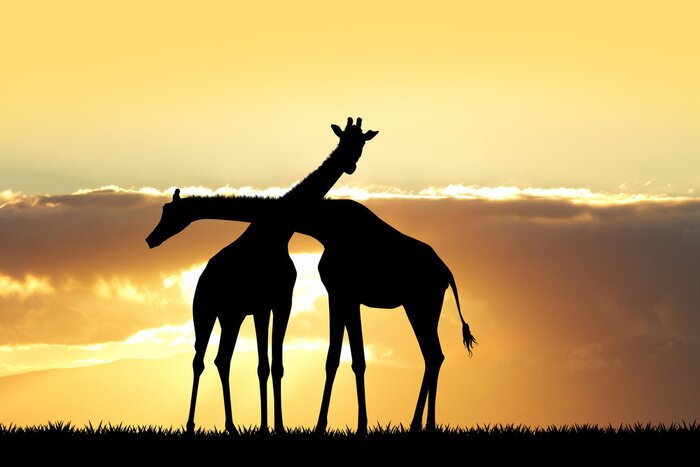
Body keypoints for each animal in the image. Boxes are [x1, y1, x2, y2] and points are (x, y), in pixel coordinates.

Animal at [146, 118, 377, 434]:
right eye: (342, 140)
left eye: (361, 143)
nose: (151, 239)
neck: (277, 232)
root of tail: (202, 278)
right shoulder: (262, 306)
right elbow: (263, 365)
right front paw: (268, 424)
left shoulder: (277, 303)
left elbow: (272, 366)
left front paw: (274, 426)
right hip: (203, 312)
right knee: (199, 360)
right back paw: (192, 424)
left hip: (231, 317)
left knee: (222, 360)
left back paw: (231, 425)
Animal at [146, 197, 476, 434]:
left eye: (169, 213)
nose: (152, 239)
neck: (323, 225)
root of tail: (446, 272)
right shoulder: (343, 296)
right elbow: (346, 359)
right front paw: (348, 425)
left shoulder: (342, 294)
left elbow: (341, 359)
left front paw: (334, 426)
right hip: (419, 305)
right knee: (434, 355)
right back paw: (421, 425)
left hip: (421, 303)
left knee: (433, 354)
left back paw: (421, 424)